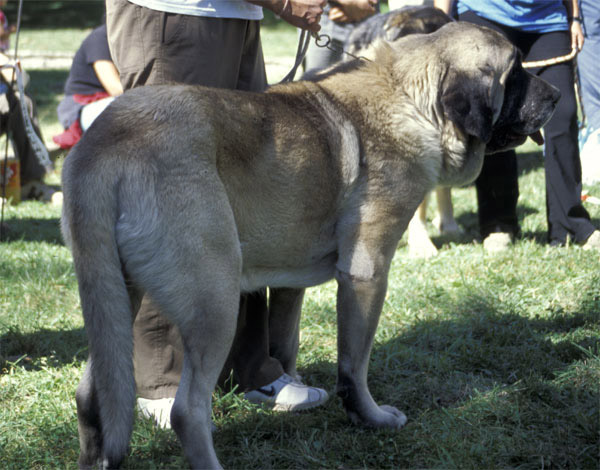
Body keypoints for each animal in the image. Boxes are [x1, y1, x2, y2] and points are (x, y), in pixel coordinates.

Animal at [61, 21, 556, 466]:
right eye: (515, 71)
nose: (554, 96)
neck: (410, 98)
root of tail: (104, 143)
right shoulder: (365, 274)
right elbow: (354, 363)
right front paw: (370, 416)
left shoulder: (291, 281)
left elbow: (287, 340)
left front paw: (291, 386)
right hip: (213, 301)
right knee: (187, 411)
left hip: (116, 297)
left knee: (94, 395)